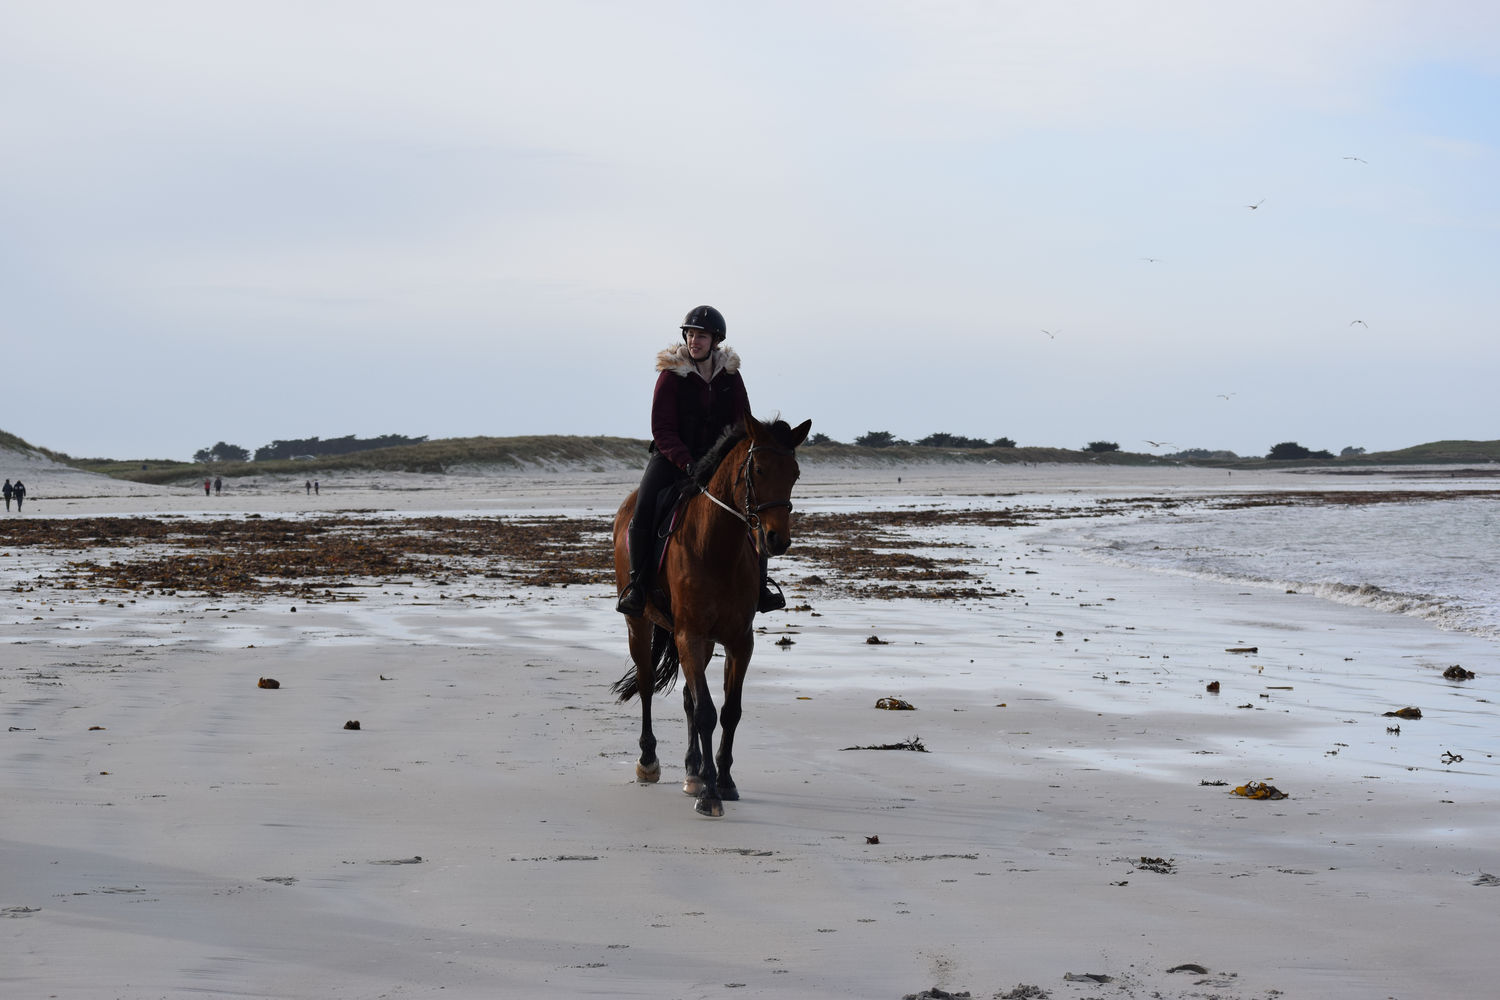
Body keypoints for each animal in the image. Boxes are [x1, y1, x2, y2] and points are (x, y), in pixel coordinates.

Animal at [609, 413, 816, 815]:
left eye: (795, 473)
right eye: (759, 469)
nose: (776, 539)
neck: (716, 548)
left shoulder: (739, 642)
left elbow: (728, 710)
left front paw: (723, 781)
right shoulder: (690, 635)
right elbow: (706, 711)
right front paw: (709, 794)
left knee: (689, 697)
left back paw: (693, 771)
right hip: (639, 625)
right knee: (646, 683)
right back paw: (649, 762)